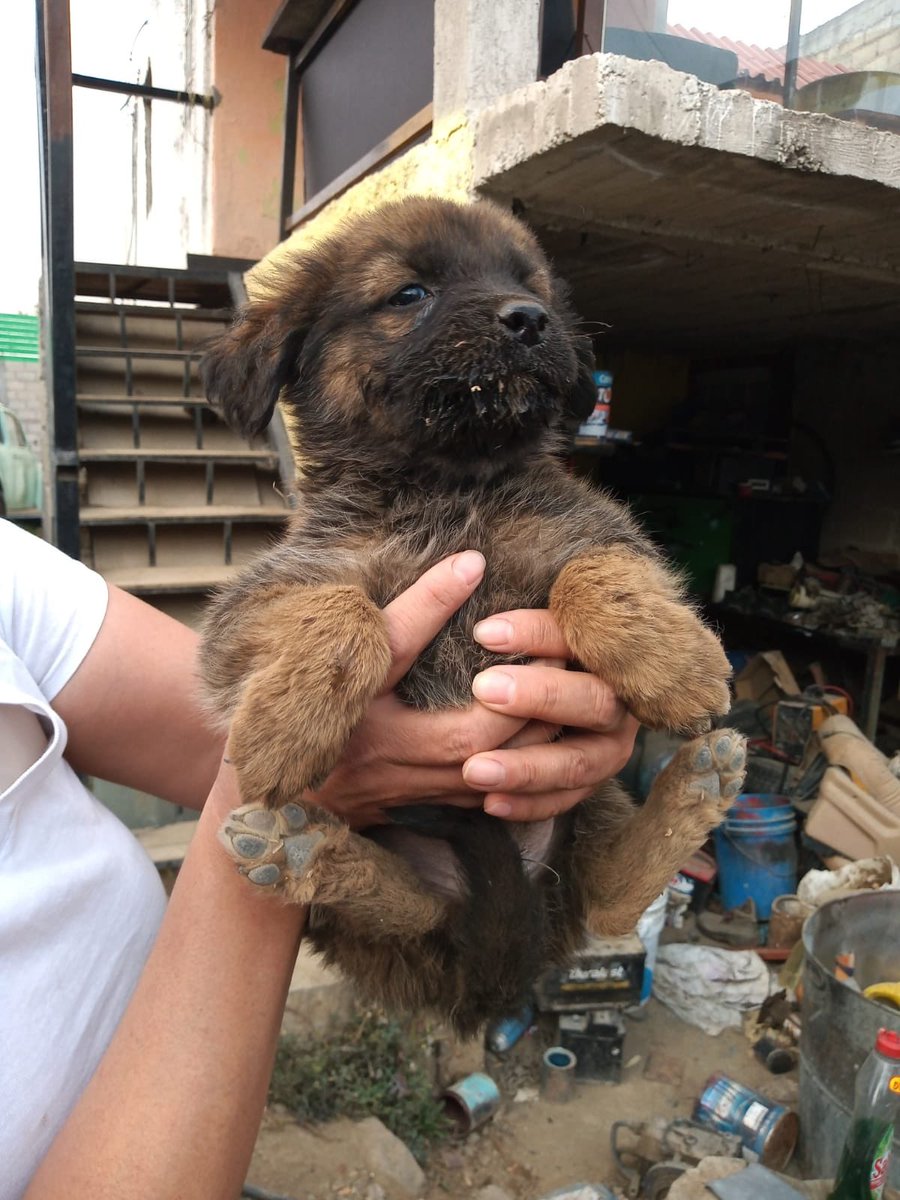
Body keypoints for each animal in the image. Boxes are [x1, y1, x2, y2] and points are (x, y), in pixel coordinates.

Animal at [200, 194, 744, 1032]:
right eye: (409, 293)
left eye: (532, 286)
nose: (529, 321)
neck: (448, 484)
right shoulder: (257, 599)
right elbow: (342, 610)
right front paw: (285, 727)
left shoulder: (597, 532)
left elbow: (595, 576)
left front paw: (674, 666)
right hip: (401, 871)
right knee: (425, 914)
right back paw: (303, 854)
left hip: (590, 799)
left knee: (603, 901)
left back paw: (694, 786)